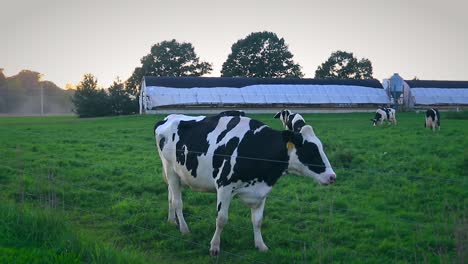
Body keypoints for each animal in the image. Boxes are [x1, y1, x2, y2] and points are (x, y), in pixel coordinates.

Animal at [154, 112, 336, 255]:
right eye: (311, 151)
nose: (332, 176)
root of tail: (169, 117)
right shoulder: (224, 186)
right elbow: (221, 219)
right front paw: (214, 247)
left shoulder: (261, 191)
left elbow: (258, 221)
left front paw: (261, 245)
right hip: (170, 170)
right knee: (177, 201)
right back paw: (184, 229)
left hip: (176, 176)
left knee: (171, 196)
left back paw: (172, 221)